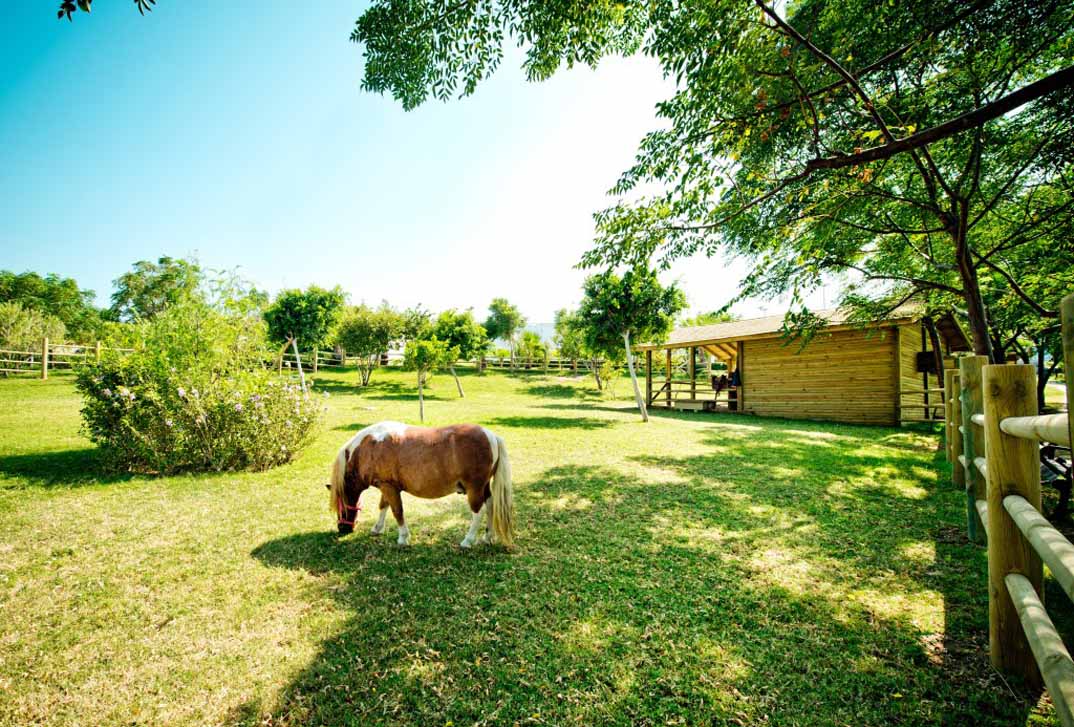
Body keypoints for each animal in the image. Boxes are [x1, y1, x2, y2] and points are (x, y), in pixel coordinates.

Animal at [324, 416, 513, 547]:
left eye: (339, 504)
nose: (343, 529)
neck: (369, 447)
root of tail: (491, 435)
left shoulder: (389, 487)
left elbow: (397, 511)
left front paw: (403, 538)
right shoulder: (386, 486)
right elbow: (383, 506)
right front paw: (377, 528)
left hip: (474, 489)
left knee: (478, 512)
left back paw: (468, 540)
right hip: (483, 487)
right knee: (490, 506)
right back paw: (487, 537)